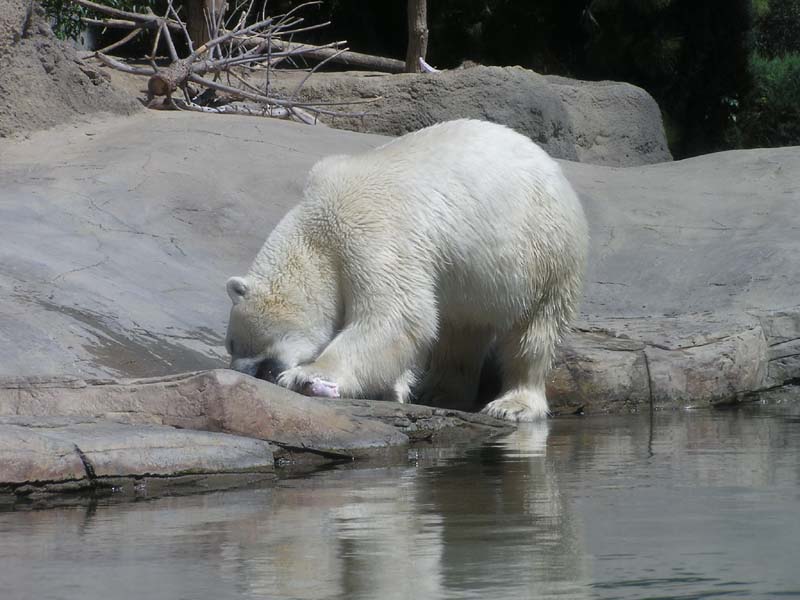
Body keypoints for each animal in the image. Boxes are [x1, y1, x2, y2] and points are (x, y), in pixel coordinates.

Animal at [225, 119, 588, 421]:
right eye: (232, 346)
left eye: (241, 346)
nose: (246, 373)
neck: (317, 230)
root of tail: (553, 168)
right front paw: (393, 389)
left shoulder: (368, 233)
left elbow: (396, 315)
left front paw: (306, 375)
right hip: (475, 276)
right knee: (461, 330)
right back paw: (438, 391)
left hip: (543, 251)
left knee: (534, 332)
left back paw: (512, 404)